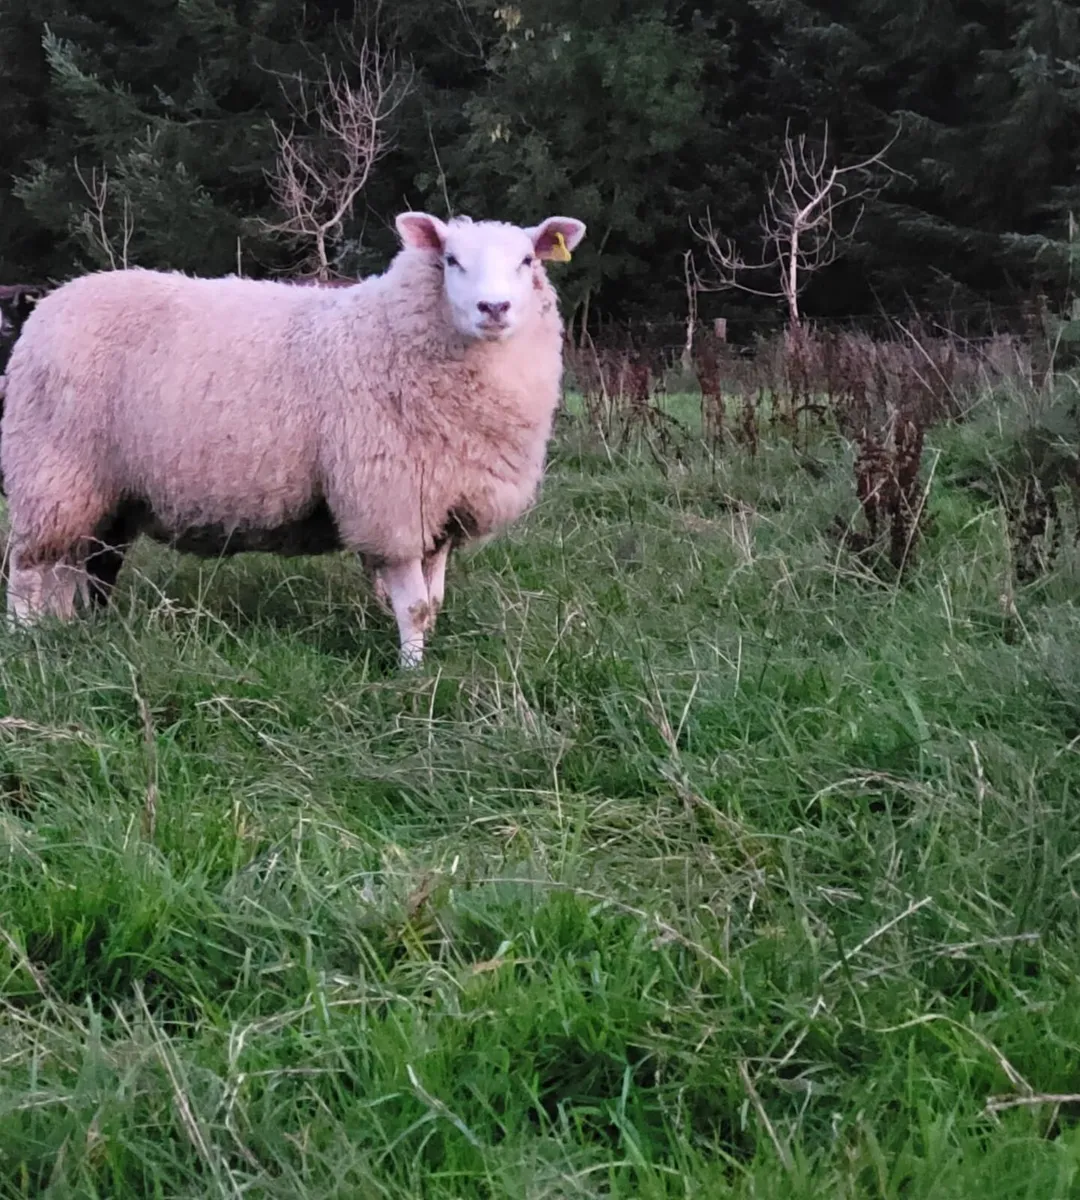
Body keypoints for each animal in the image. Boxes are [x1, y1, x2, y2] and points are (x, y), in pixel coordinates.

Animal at [0, 211, 586, 667]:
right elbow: (414, 606)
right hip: (51, 468)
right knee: (28, 570)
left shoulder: (441, 504)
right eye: (451, 261)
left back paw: (68, 630)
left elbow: (435, 600)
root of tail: (51, 304)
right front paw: (412, 675)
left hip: (99, 490)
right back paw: (29, 641)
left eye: (527, 261)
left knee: (75, 565)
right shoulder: (391, 500)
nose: (494, 309)